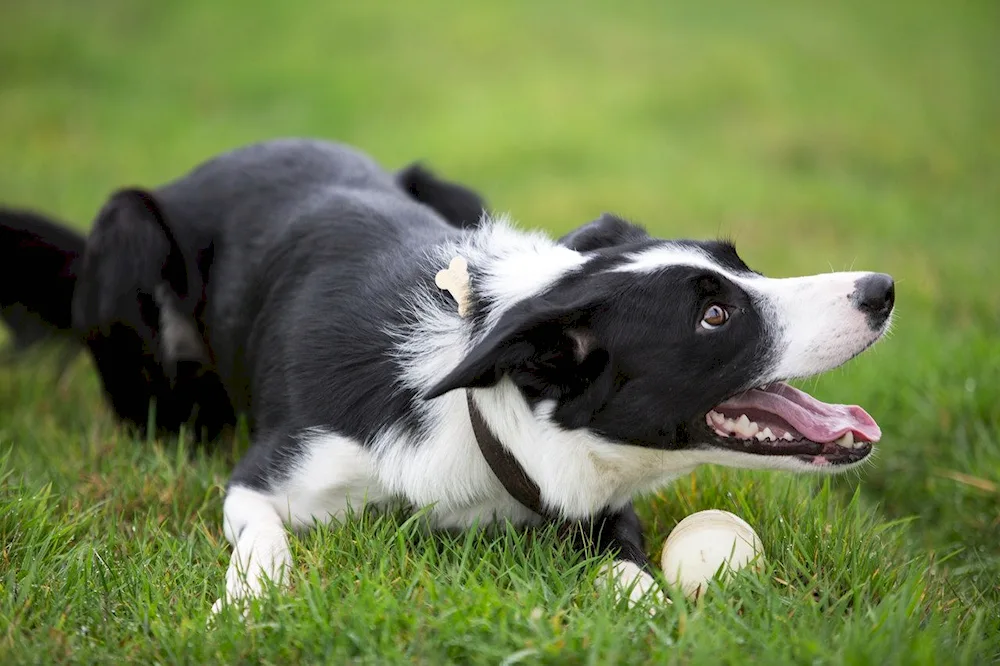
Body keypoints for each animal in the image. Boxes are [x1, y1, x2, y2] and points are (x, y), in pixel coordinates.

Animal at [0, 139, 892, 608]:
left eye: (741, 263)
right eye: (714, 316)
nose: (880, 290)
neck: (479, 412)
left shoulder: (593, 506)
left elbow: (630, 566)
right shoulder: (268, 474)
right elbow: (262, 541)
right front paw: (246, 606)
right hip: (127, 232)